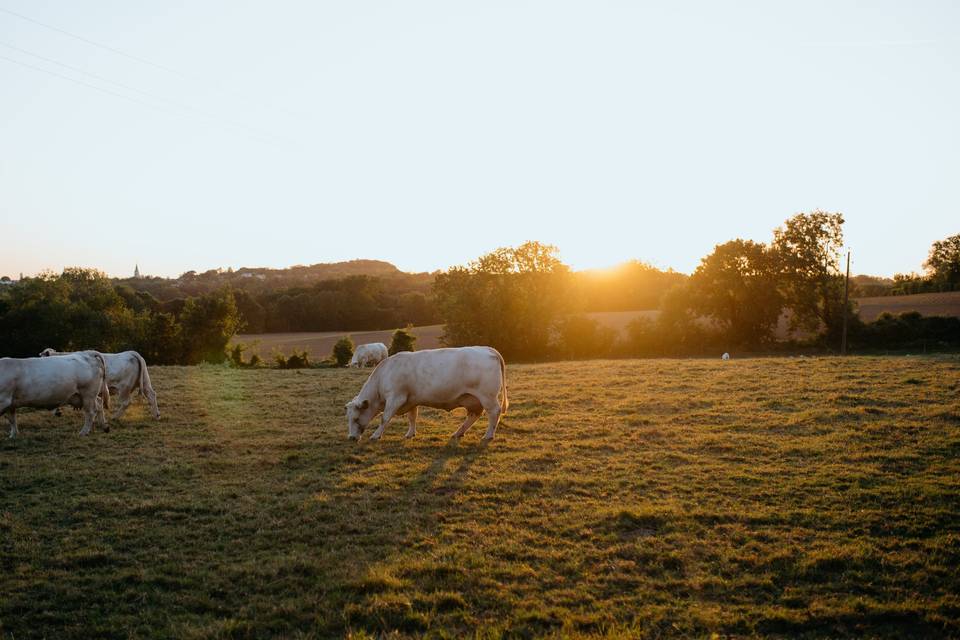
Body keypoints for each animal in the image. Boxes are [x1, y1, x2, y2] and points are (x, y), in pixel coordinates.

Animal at [346, 348, 510, 442]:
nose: (351, 438)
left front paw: (376, 435)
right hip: (473, 399)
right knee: (473, 415)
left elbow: (384, 418)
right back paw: (458, 433)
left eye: (355, 418)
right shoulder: (411, 400)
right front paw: (410, 434)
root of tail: (488, 349)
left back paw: (488, 435)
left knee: (494, 412)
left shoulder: (396, 398)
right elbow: (412, 417)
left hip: (487, 397)